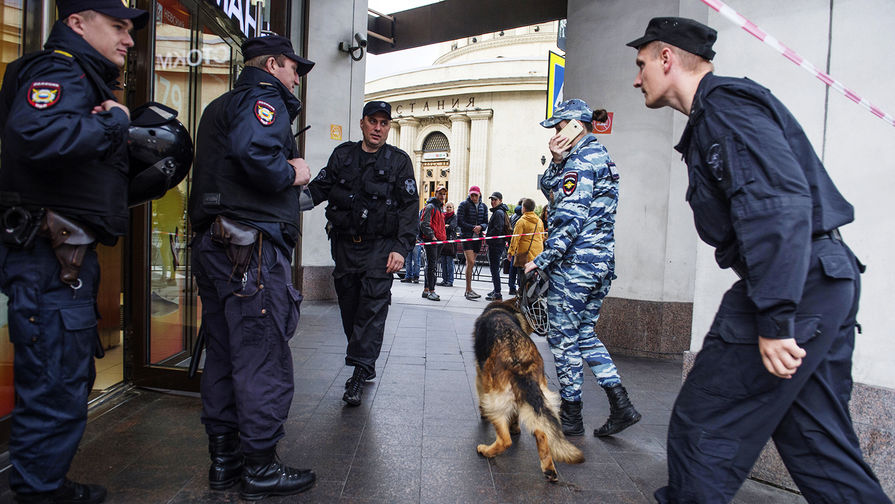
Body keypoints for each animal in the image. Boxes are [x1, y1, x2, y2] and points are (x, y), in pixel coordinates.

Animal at [472, 300, 584, 480]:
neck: (504, 308)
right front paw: (515, 427)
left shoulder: (480, 375)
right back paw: (548, 468)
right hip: (541, 398)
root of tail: (520, 362)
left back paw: (486, 451)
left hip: (495, 400)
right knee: (542, 432)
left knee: (505, 440)